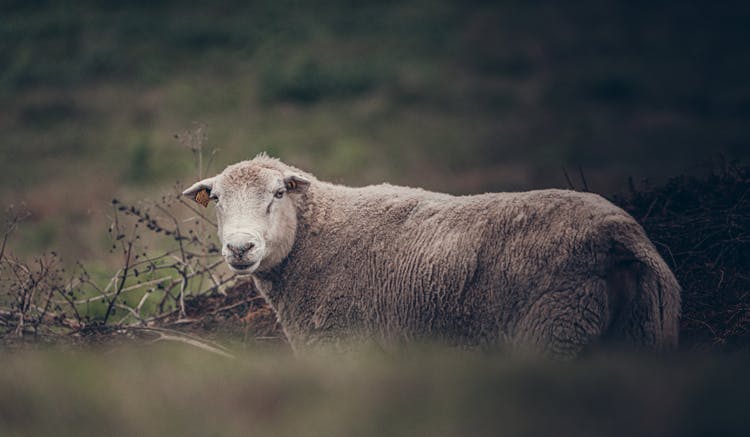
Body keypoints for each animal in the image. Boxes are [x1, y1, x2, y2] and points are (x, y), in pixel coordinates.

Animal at [182, 154, 680, 358]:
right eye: (218, 198)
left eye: (279, 193)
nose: (240, 247)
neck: (315, 237)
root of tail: (621, 235)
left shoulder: (344, 346)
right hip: (641, 331)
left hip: (556, 327)